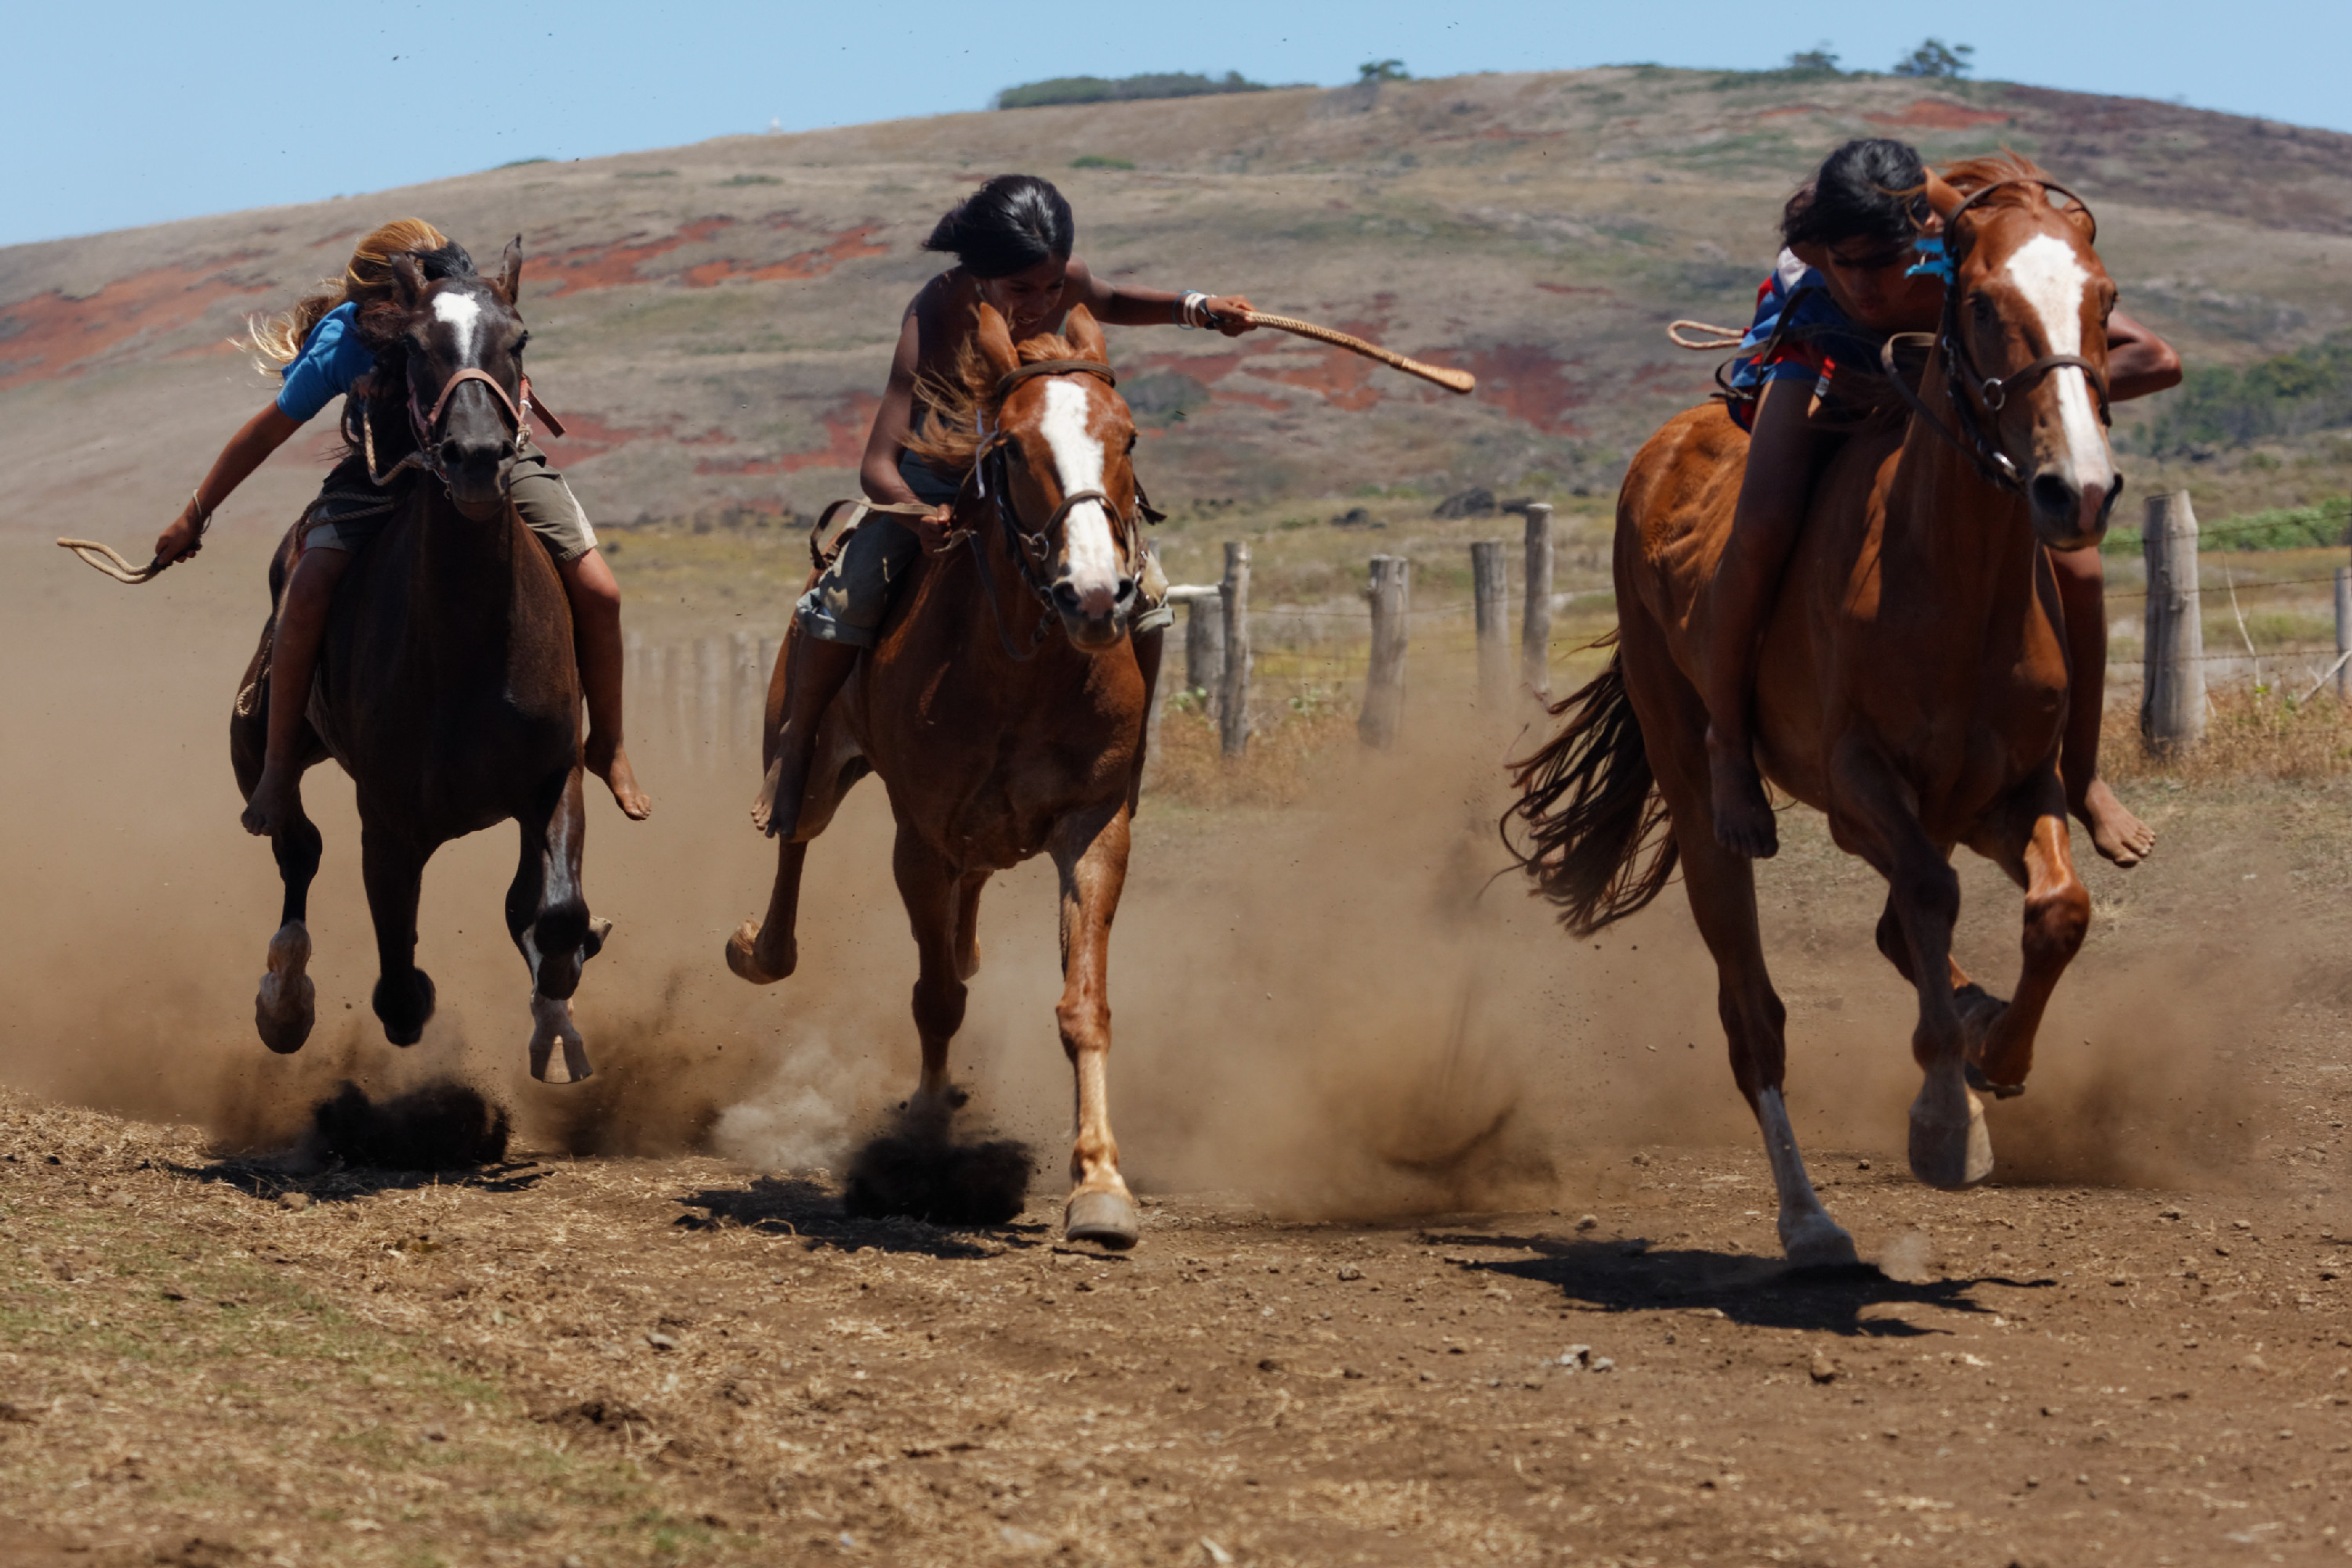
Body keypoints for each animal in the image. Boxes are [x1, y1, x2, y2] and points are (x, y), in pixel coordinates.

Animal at [236, 239, 607, 1086]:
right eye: (410, 347)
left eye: (520, 339)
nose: (475, 456)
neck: (470, 648)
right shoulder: (388, 822)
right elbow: (401, 990)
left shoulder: (554, 775)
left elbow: (552, 912)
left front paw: (558, 1020)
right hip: (257, 743)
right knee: (295, 846)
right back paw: (284, 1000)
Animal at [720, 305, 1152, 1250]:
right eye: (1013, 448)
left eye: (1128, 436)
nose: (1095, 595)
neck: (1022, 669)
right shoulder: (918, 838)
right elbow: (937, 1001)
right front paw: (921, 1146)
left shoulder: (1095, 825)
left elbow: (1084, 1003)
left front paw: (1101, 1184)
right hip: (820, 766)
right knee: (796, 836)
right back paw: (762, 947)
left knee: (968, 915)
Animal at [1515, 156, 2126, 1260]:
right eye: (1980, 301)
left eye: (2105, 300)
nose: (2080, 488)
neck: (1950, 584)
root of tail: (1663, 449)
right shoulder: (1856, 790)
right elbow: (1928, 895)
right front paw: (1946, 1119)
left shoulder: (2014, 790)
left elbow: (2057, 909)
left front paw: (1998, 1052)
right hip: (1700, 797)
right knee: (1753, 1013)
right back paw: (1808, 1220)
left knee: (1897, 934)